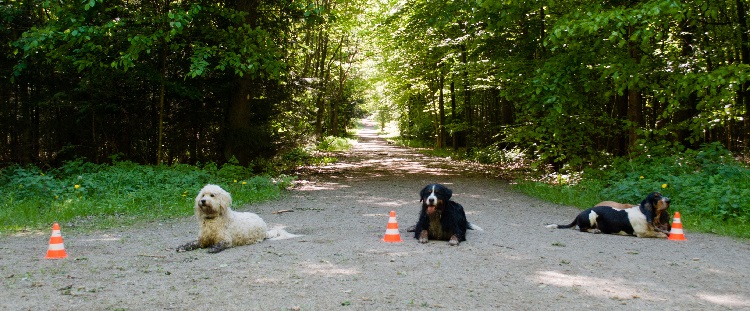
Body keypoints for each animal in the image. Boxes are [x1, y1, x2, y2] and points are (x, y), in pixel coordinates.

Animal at [548, 193, 676, 239]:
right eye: (656, 197)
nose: (669, 200)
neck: (644, 213)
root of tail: (579, 214)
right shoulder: (641, 233)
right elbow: (657, 233)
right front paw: (663, 234)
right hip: (591, 215)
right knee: (582, 229)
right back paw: (594, 231)